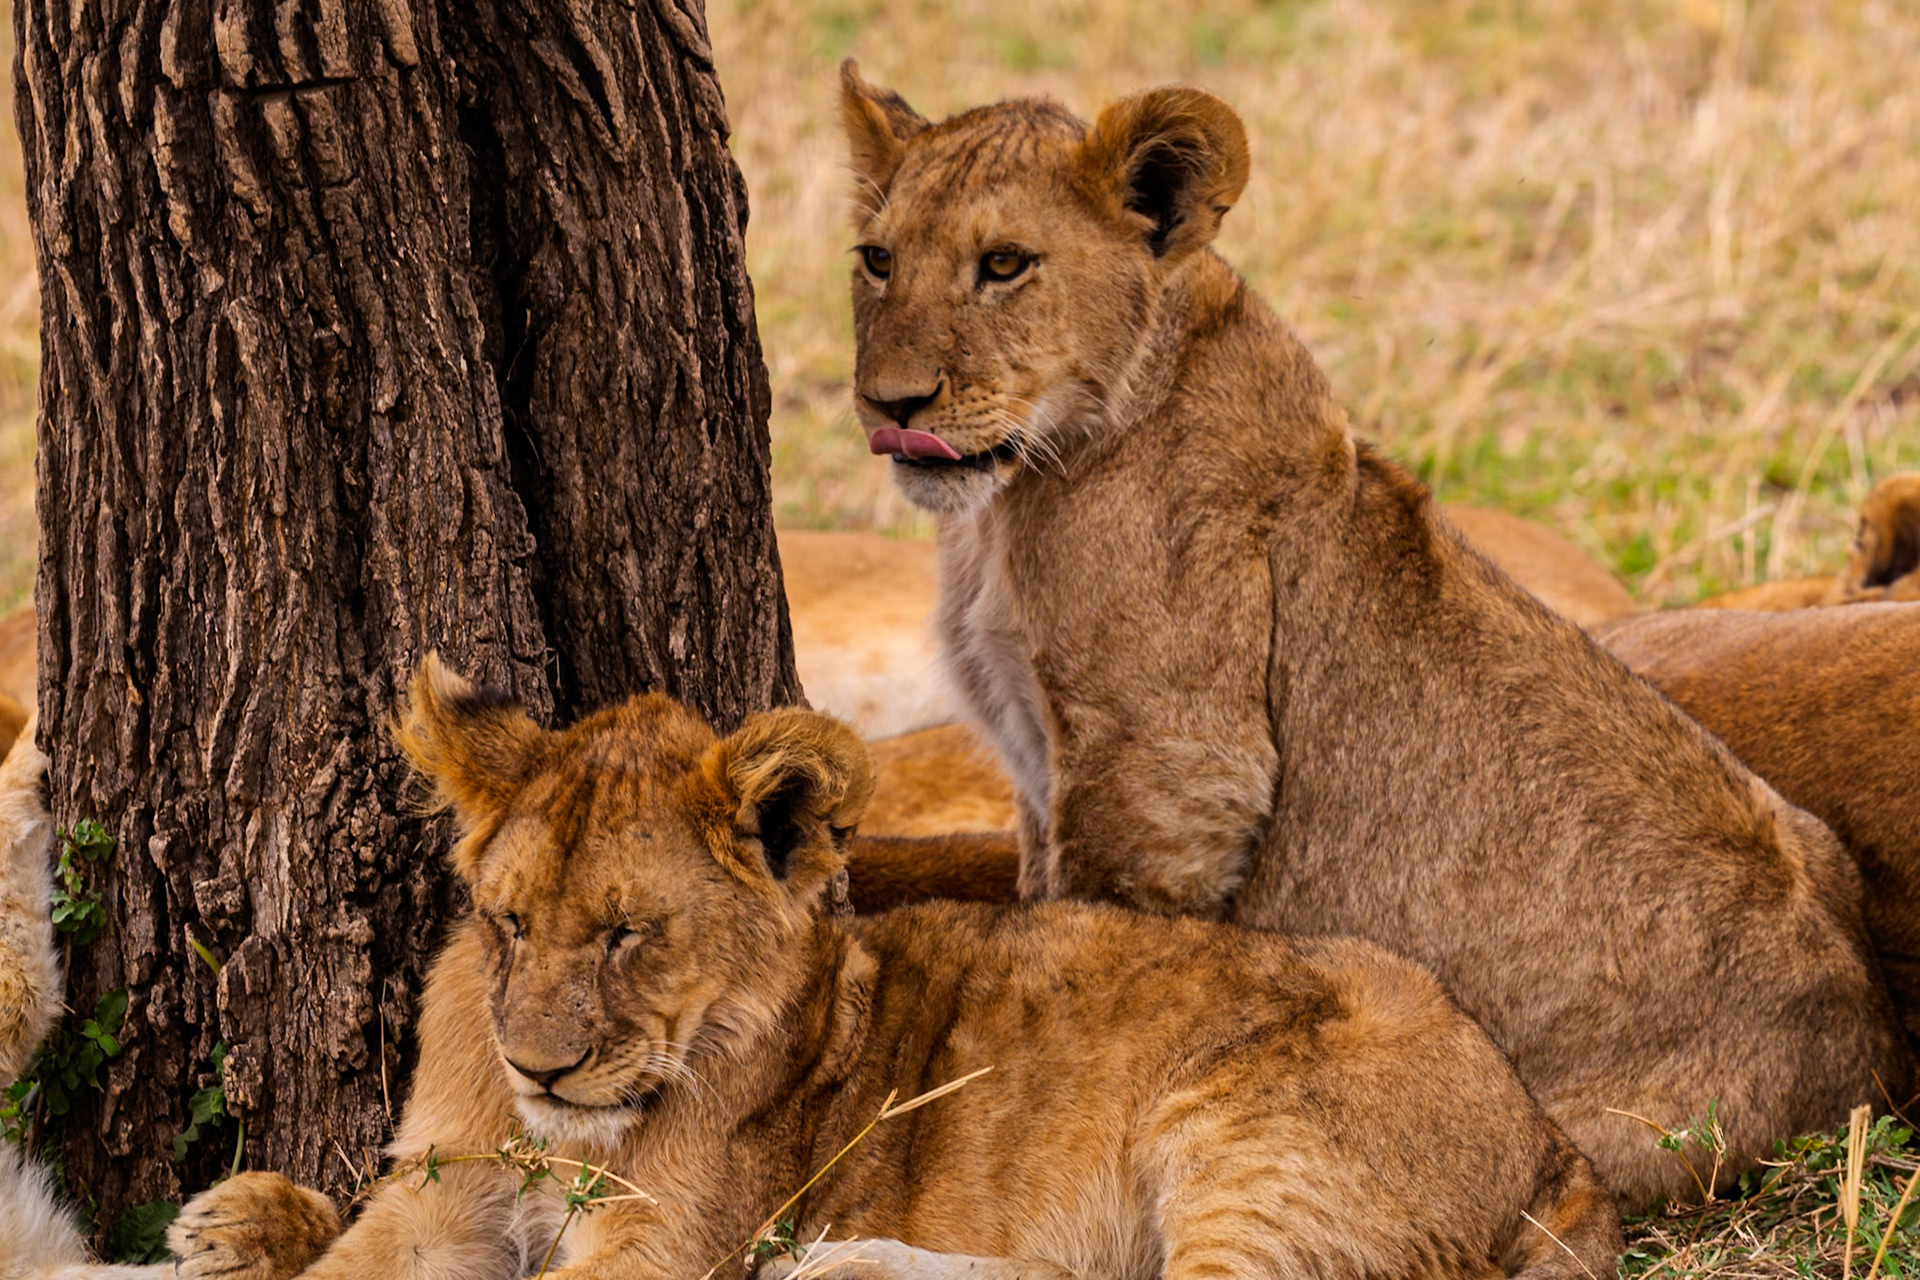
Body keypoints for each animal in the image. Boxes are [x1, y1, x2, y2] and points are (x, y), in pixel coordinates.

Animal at [210, 656, 1618, 1280]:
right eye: (508, 922)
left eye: (626, 931)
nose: (539, 1066)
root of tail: (1548, 1136)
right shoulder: (438, 1195)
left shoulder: (663, 1238)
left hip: (1249, 1147)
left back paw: (843, 1267)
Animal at [837, 61, 1910, 1209]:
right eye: (878, 259)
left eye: (1004, 265)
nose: (890, 403)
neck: (1012, 500)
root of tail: (1865, 1057)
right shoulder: (1046, 769)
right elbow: (1034, 893)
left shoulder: (1173, 765)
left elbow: (1089, 939)